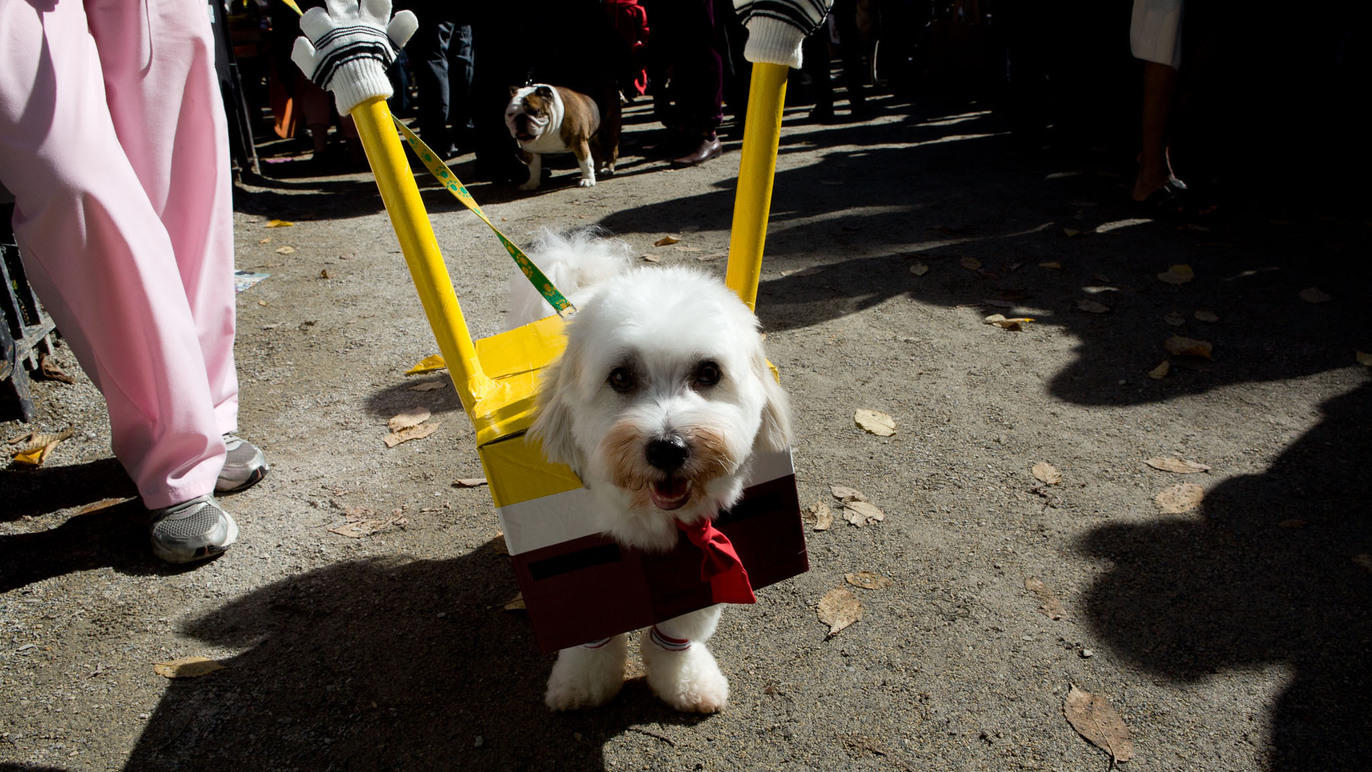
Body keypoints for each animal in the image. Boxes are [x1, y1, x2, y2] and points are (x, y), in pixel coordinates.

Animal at [510, 228, 795, 713]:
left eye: (708, 373)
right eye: (620, 377)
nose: (667, 449)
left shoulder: (701, 556)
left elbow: (680, 628)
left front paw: (684, 679)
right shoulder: (589, 565)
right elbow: (590, 627)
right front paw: (581, 681)